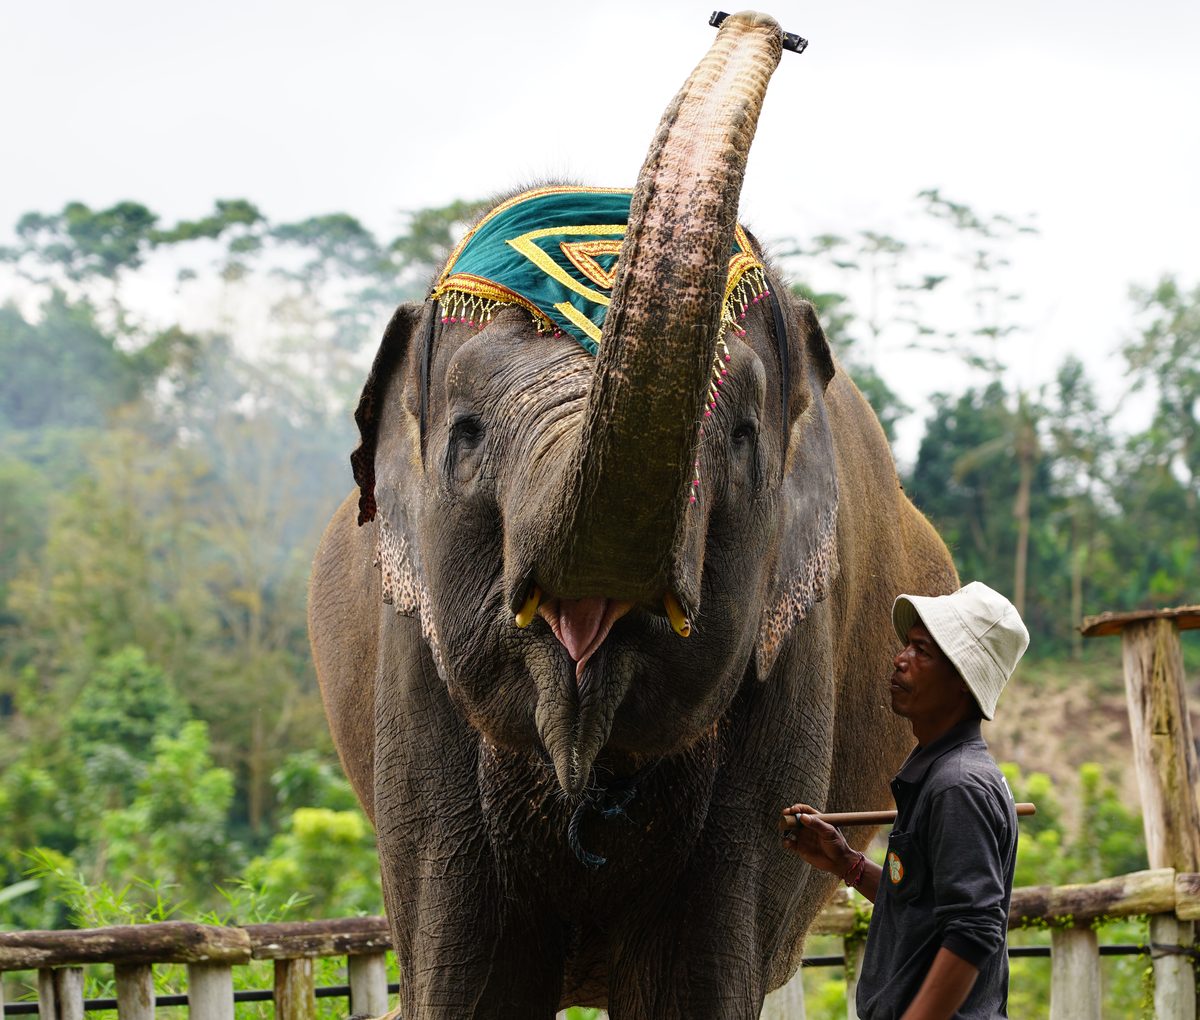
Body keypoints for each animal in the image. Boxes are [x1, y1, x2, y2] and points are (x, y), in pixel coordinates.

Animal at [309, 11, 957, 1019]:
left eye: (739, 439)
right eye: (464, 436)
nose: (760, 23)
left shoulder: (792, 661)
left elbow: (695, 978)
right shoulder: (410, 677)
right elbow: (469, 977)